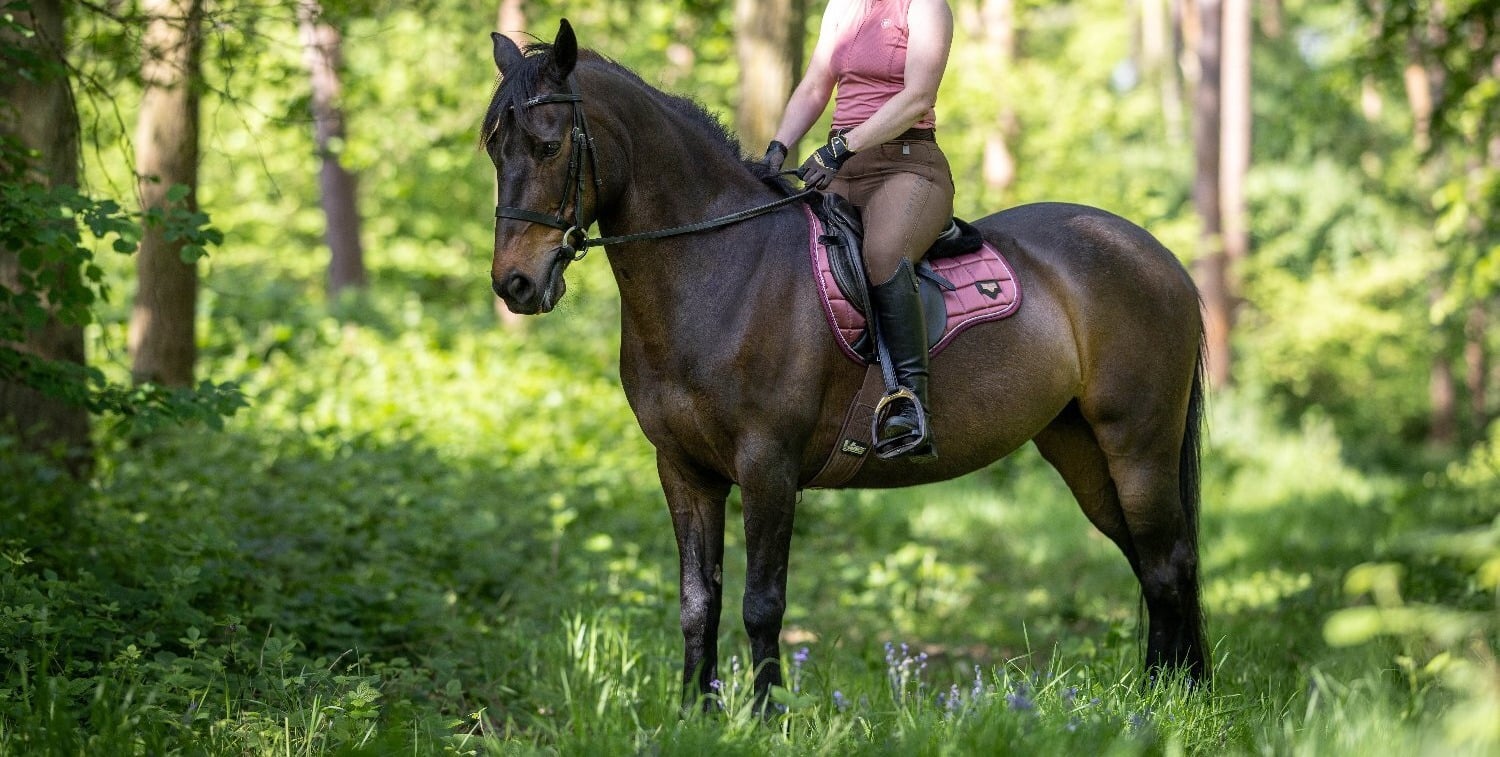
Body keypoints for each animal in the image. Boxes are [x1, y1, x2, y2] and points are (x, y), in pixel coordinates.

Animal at [482, 20, 1209, 705]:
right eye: (495, 146)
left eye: (549, 145)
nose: (515, 284)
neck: (720, 269)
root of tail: (1158, 255)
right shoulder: (684, 470)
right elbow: (697, 603)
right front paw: (697, 713)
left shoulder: (768, 467)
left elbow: (761, 604)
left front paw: (765, 716)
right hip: (1081, 448)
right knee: (1151, 561)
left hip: (1137, 445)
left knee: (1167, 563)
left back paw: (1170, 701)